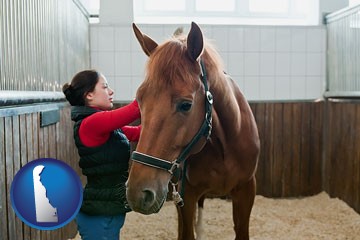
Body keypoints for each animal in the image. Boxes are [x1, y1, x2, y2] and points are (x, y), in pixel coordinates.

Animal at [126, 22, 258, 240]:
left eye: (186, 105)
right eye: (139, 100)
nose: (137, 193)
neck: (223, 147)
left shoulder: (246, 190)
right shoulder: (186, 195)